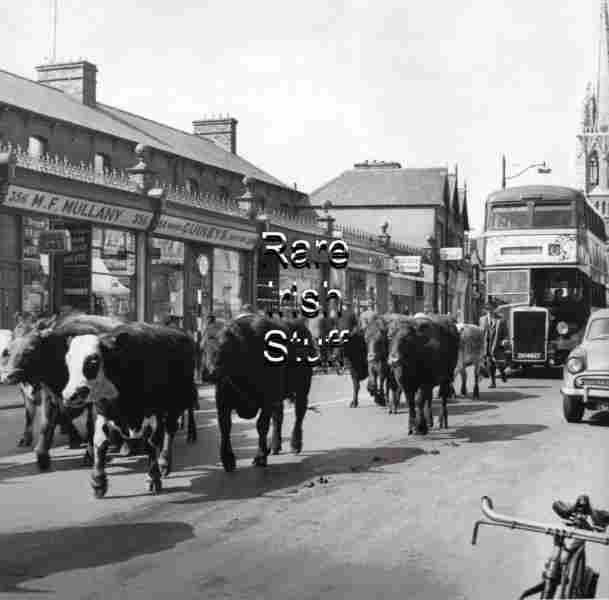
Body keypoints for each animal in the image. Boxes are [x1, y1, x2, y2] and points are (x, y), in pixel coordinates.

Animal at [0, 314, 126, 468]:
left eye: (30, 349)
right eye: (8, 351)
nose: (7, 376)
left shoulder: (93, 401)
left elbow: (90, 426)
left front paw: (90, 455)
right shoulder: (50, 397)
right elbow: (46, 423)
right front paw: (42, 455)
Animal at [61, 322, 197, 500]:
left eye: (93, 361)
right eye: (68, 360)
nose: (69, 395)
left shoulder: (153, 414)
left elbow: (151, 444)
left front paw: (153, 478)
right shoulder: (103, 411)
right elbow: (100, 443)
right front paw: (98, 483)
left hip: (177, 403)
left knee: (169, 431)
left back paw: (164, 463)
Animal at [202, 312, 314, 472]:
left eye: (225, 345)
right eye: (203, 347)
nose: (209, 373)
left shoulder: (267, 399)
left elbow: (261, 426)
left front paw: (260, 457)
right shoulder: (222, 403)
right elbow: (225, 428)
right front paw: (228, 460)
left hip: (302, 388)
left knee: (299, 413)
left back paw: (295, 444)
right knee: (278, 416)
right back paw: (275, 445)